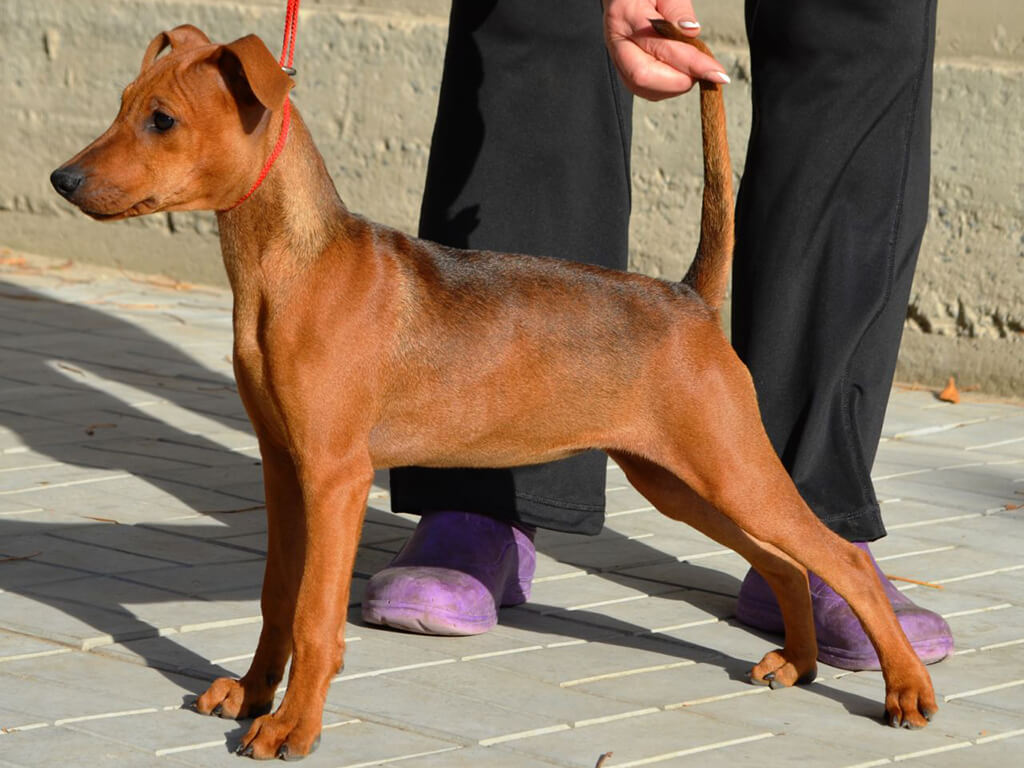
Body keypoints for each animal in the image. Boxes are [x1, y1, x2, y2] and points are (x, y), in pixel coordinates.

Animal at [54, 24, 937, 765]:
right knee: (784, 560)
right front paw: (252, 694)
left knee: (839, 560)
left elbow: (315, 613)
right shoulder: (283, 467)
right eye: (123, 106)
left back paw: (905, 689)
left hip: (729, 467)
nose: (62, 178)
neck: (288, 265)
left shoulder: (334, 476)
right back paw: (798, 662)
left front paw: (292, 726)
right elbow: (278, 596)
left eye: (161, 120)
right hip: (682, 480)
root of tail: (688, 296)